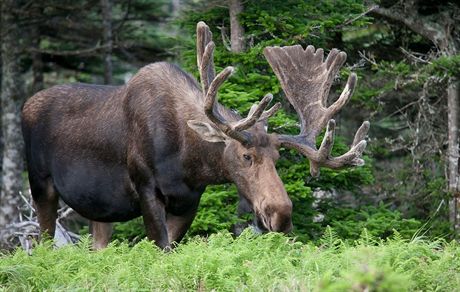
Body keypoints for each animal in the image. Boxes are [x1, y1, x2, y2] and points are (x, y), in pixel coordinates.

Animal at [22, 21, 370, 250]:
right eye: (245, 156)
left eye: (277, 158)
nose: (281, 214)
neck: (187, 161)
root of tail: (25, 104)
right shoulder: (146, 188)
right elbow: (160, 249)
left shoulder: (189, 201)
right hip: (41, 185)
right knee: (42, 244)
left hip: (100, 209)